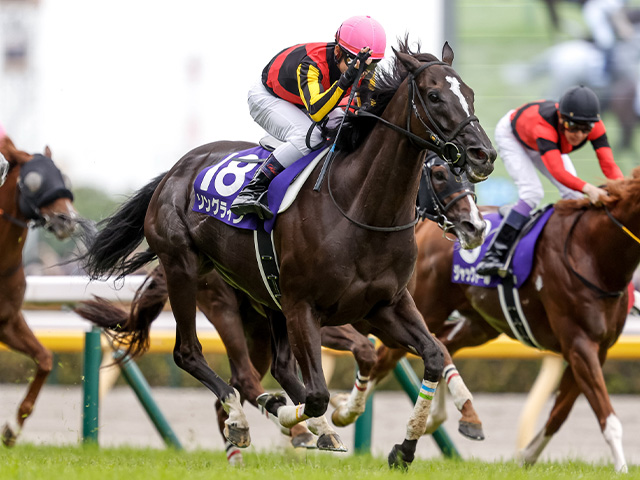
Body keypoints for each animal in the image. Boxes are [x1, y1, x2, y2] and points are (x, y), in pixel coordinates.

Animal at [0, 132, 94, 446]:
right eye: (34, 181)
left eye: (62, 177)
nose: (67, 219)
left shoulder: (8, 320)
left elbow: (45, 359)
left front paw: (12, 429)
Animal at [79, 40, 496, 468]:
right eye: (434, 95)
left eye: (469, 93)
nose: (483, 154)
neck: (360, 208)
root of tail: (174, 172)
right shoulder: (305, 307)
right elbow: (318, 395)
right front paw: (314, 418)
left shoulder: (384, 306)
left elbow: (432, 354)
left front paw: (403, 447)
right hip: (190, 274)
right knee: (194, 356)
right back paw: (247, 419)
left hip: (265, 300)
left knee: (274, 368)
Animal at [368, 170, 640, 472]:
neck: (593, 254)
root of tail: (432, 225)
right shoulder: (579, 344)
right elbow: (607, 416)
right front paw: (622, 469)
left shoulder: (596, 349)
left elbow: (560, 412)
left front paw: (526, 456)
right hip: (426, 307)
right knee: (387, 357)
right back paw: (348, 411)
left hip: (480, 324)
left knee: (444, 344)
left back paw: (454, 416)